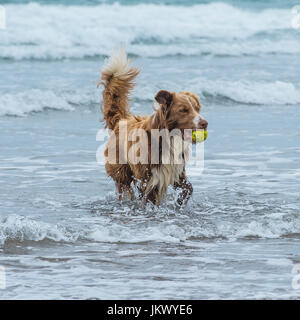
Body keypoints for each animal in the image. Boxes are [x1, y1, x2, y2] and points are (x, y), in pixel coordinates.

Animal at [99, 48, 207, 206]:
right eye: (184, 110)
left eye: (197, 109)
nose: (205, 123)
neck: (168, 138)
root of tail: (121, 121)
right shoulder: (148, 177)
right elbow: (149, 196)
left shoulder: (176, 172)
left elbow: (188, 188)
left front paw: (179, 203)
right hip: (121, 171)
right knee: (125, 188)